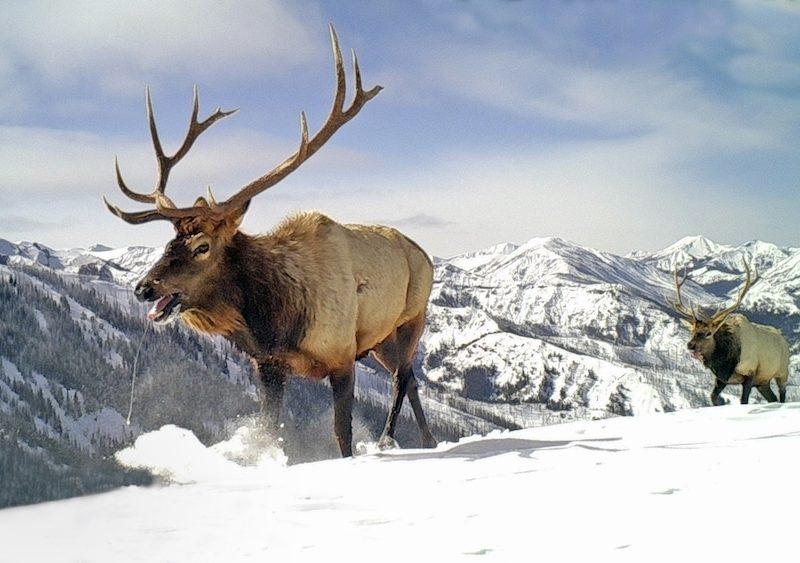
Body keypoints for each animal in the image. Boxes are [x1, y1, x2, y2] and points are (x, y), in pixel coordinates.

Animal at [104, 26, 438, 458]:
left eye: (202, 247)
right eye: (167, 244)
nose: (144, 288)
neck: (274, 318)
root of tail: (425, 254)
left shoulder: (342, 357)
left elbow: (341, 433)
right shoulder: (268, 365)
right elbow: (268, 430)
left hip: (412, 317)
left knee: (403, 376)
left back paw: (388, 438)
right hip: (380, 339)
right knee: (409, 375)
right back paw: (428, 438)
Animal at [672, 262, 792, 408]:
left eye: (709, 333)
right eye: (692, 331)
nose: (690, 345)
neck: (726, 361)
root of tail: (785, 340)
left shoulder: (750, 372)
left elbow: (744, 401)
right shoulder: (721, 378)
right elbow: (713, 397)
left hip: (782, 372)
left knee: (782, 394)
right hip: (762, 381)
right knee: (772, 398)